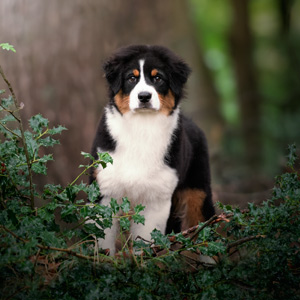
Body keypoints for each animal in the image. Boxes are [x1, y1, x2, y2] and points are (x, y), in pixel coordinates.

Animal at [90, 45, 214, 255]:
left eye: (158, 78)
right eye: (131, 78)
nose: (144, 96)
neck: (142, 127)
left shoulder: (155, 198)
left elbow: (145, 240)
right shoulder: (105, 190)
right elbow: (102, 239)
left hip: (198, 192)